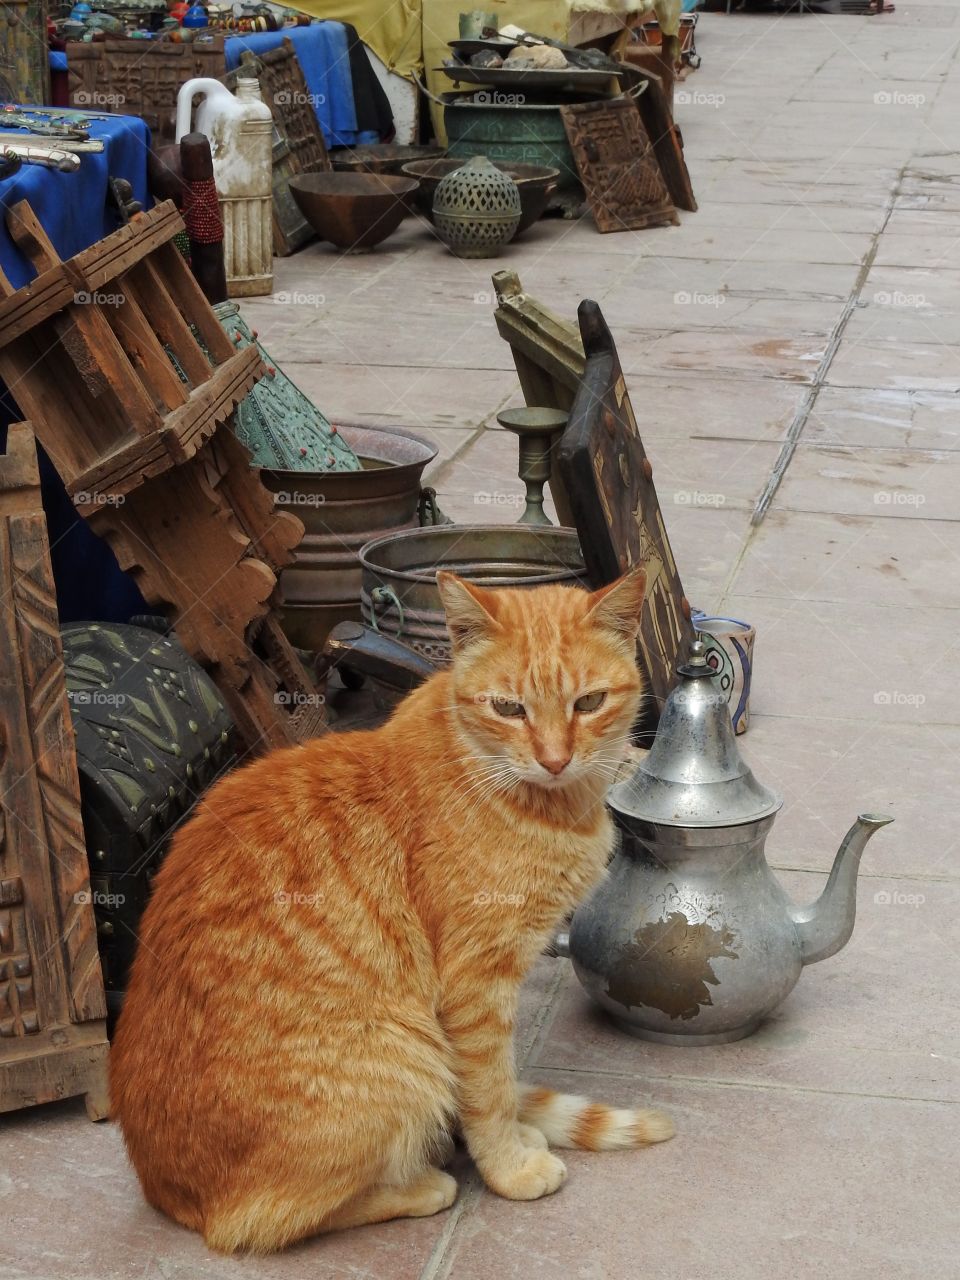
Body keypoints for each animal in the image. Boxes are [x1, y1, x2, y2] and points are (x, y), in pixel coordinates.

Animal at [108, 568, 670, 1249]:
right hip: (406, 1056)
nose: (555, 759)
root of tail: (164, 1192)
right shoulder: (476, 985)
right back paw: (423, 1183)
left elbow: (501, 1085)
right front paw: (508, 1165)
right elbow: (490, 1088)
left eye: (588, 703)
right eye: (509, 709)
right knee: (255, 1221)